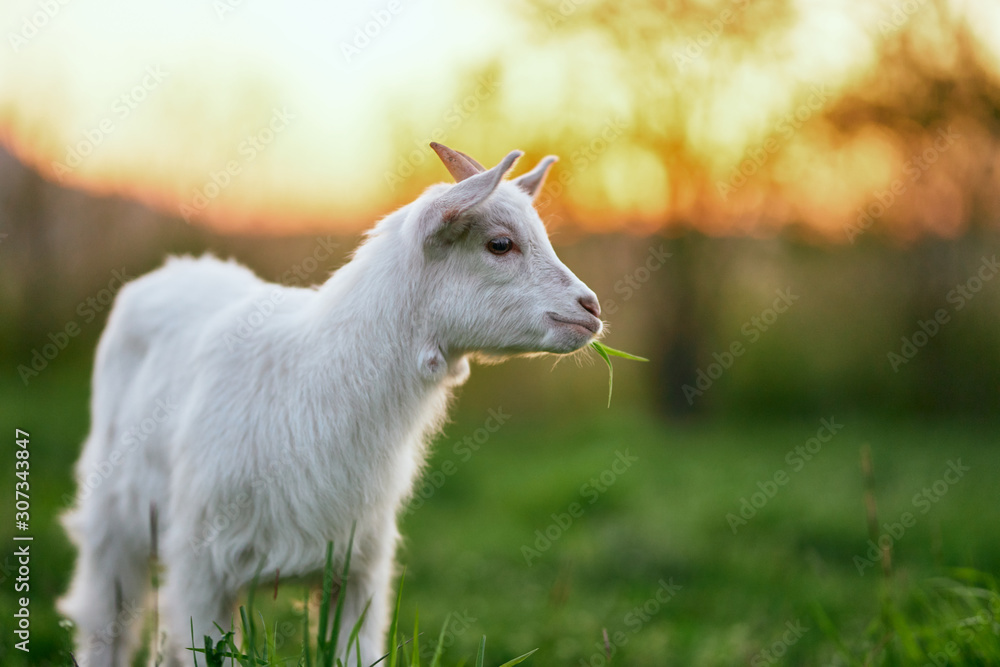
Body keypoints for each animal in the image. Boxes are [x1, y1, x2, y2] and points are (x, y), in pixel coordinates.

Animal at [58, 143, 603, 666]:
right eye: (500, 244)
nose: (591, 309)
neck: (315, 381)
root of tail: (177, 268)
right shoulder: (200, 567)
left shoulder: (357, 568)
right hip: (112, 516)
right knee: (106, 618)